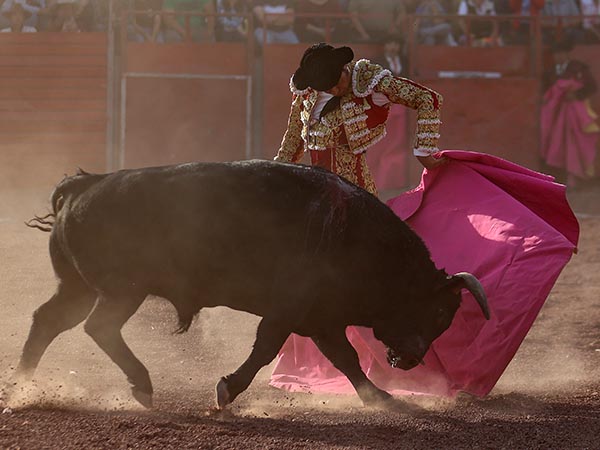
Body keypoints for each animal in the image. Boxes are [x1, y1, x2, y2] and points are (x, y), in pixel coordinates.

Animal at [17, 160, 488, 410]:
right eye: (442, 310)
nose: (410, 359)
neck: (357, 237)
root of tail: (85, 185)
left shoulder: (322, 319)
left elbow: (347, 359)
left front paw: (382, 398)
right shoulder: (288, 309)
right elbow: (265, 349)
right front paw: (227, 390)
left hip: (79, 288)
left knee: (48, 320)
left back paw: (22, 385)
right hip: (120, 291)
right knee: (98, 327)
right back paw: (142, 385)